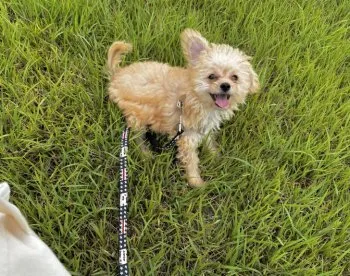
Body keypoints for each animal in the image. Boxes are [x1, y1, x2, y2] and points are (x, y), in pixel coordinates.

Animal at [108, 28, 258, 188]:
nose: (225, 85)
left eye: (235, 77)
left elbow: (209, 142)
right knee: (137, 138)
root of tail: (117, 75)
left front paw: (215, 156)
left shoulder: (204, 129)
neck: (194, 98)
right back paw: (145, 153)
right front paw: (197, 183)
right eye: (212, 76)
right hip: (137, 116)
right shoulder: (187, 138)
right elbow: (191, 161)